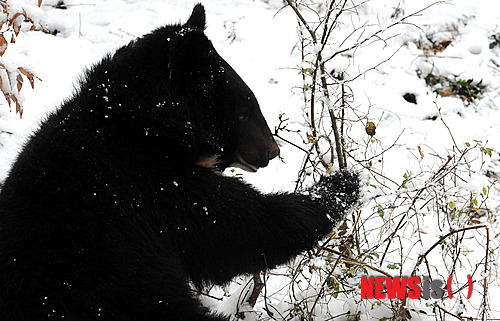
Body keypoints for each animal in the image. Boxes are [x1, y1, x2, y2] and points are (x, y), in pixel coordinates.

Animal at [0, 3, 358, 320]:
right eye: (243, 111)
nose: (272, 151)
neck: (143, 125)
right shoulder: (148, 186)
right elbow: (235, 226)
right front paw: (342, 185)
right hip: (123, 292)